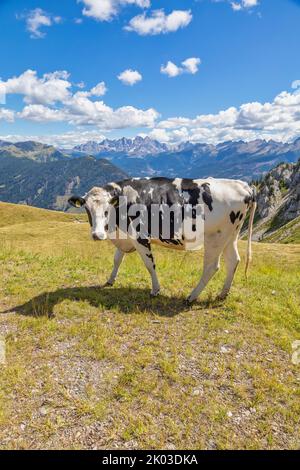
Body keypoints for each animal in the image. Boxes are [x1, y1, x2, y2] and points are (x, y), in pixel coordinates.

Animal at [69, 175, 256, 302]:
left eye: (107, 209)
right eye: (87, 208)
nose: (98, 235)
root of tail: (243, 186)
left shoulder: (140, 237)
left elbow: (149, 264)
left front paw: (155, 290)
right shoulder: (126, 237)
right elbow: (117, 260)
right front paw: (110, 280)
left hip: (215, 238)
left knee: (212, 267)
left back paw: (191, 297)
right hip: (231, 236)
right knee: (233, 261)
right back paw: (222, 294)